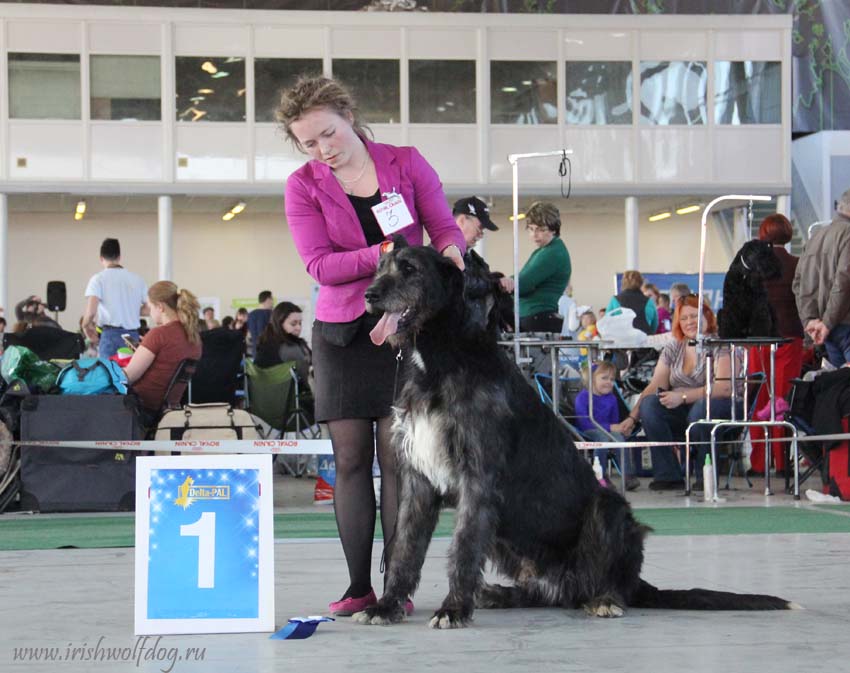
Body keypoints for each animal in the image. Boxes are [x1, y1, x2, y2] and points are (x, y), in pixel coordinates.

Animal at [354, 239, 792, 628]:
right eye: (379, 269)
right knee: (548, 591)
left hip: (607, 509)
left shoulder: (478, 479)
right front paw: (387, 605)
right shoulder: (418, 479)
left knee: (604, 577)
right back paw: (500, 593)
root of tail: (635, 582)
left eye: (409, 269)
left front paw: (453, 609)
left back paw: (604, 599)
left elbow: (462, 548)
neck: (440, 359)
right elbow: (404, 547)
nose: (369, 296)